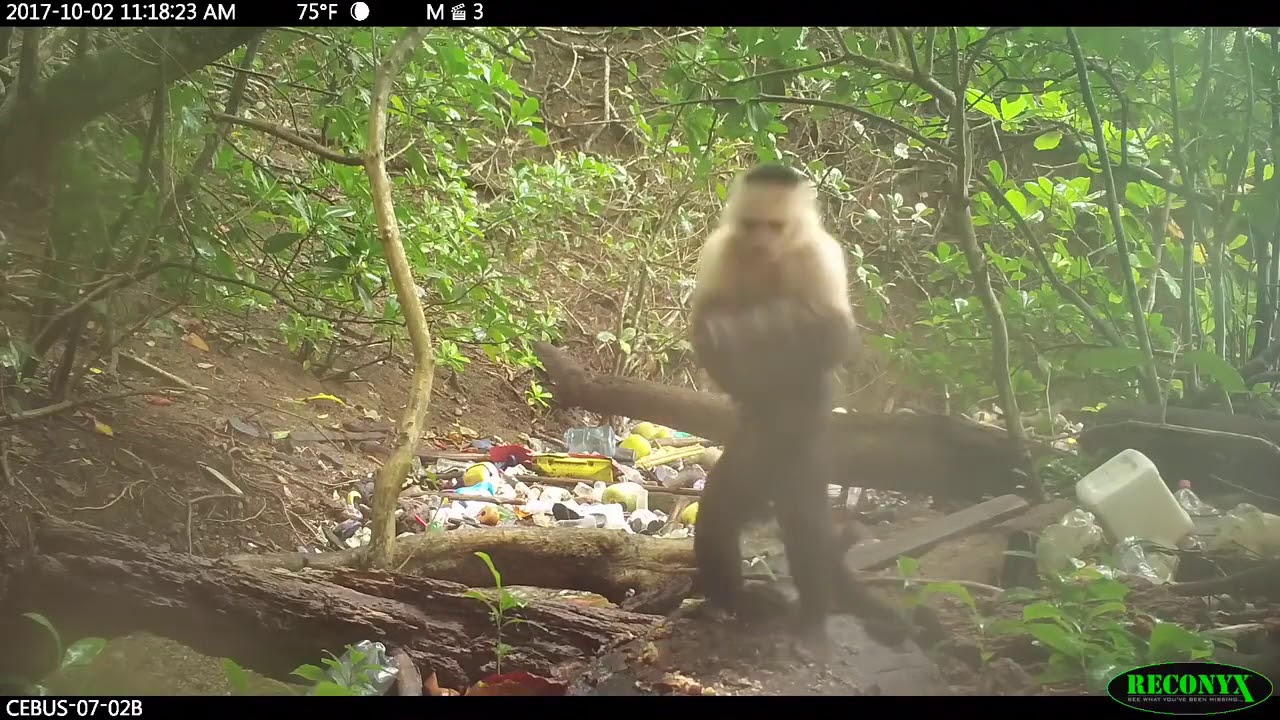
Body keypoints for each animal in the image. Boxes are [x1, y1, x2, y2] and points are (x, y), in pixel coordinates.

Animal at [687, 163, 914, 657]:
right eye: (752, 225)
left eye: (775, 227)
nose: (760, 244)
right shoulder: (721, 249)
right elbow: (705, 331)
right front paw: (728, 331)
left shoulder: (819, 255)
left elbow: (834, 334)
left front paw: (759, 323)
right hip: (754, 450)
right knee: (719, 514)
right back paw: (729, 602)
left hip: (804, 450)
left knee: (805, 524)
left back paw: (812, 616)